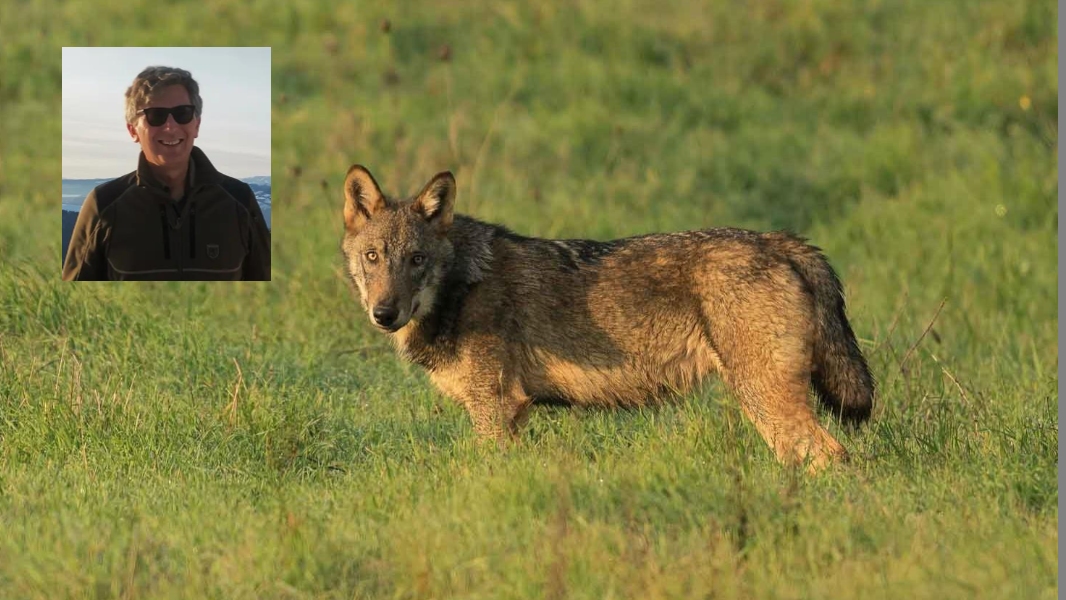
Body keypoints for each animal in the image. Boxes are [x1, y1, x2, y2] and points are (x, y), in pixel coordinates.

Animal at [340, 165, 875, 470]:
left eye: (416, 260)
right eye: (373, 257)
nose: (384, 313)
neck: (459, 288)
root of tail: (779, 241)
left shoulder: (496, 409)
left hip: (763, 399)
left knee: (832, 457)